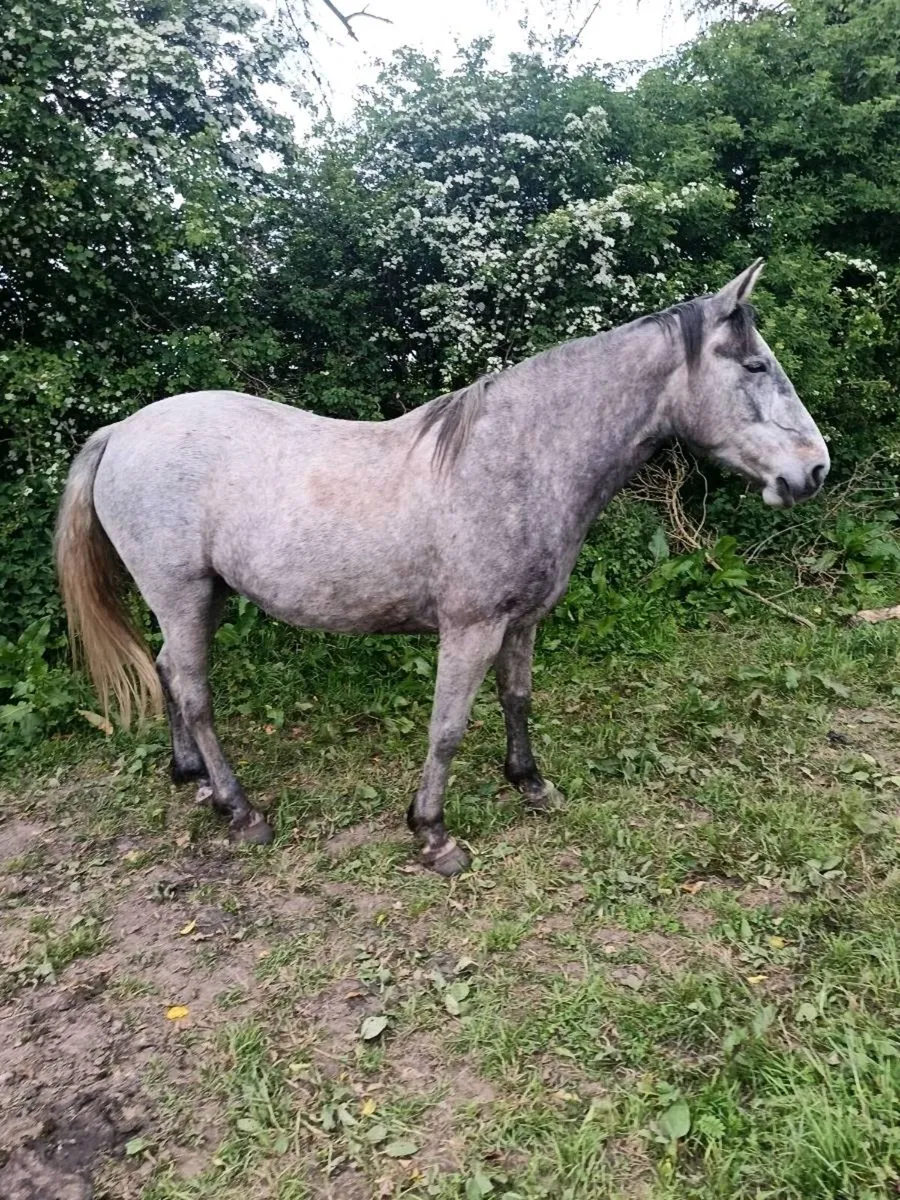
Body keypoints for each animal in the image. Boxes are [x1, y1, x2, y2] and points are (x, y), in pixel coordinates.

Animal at [56, 260, 829, 874]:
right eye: (756, 367)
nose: (814, 470)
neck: (516, 457)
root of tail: (123, 430)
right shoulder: (470, 628)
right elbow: (448, 727)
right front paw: (432, 835)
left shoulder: (522, 621)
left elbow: (517, 699)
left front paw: (531, 784)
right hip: (182, 593)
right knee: (193, 691)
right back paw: (241, 811)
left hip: (203, 596)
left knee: (166, 670)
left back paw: (193, 777)